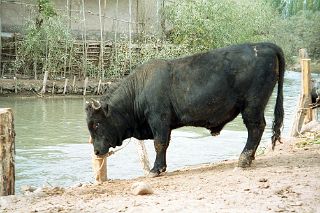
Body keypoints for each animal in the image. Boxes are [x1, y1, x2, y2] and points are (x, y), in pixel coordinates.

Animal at [85, 42, 284, 176]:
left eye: (96, 124)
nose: (96, 151)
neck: (139, 89)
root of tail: (263, 45)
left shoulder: (159, 120)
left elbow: (160, 143)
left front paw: (155, 170)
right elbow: (164, 144)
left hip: (252, 106)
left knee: (256, 128)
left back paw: (243, 160)